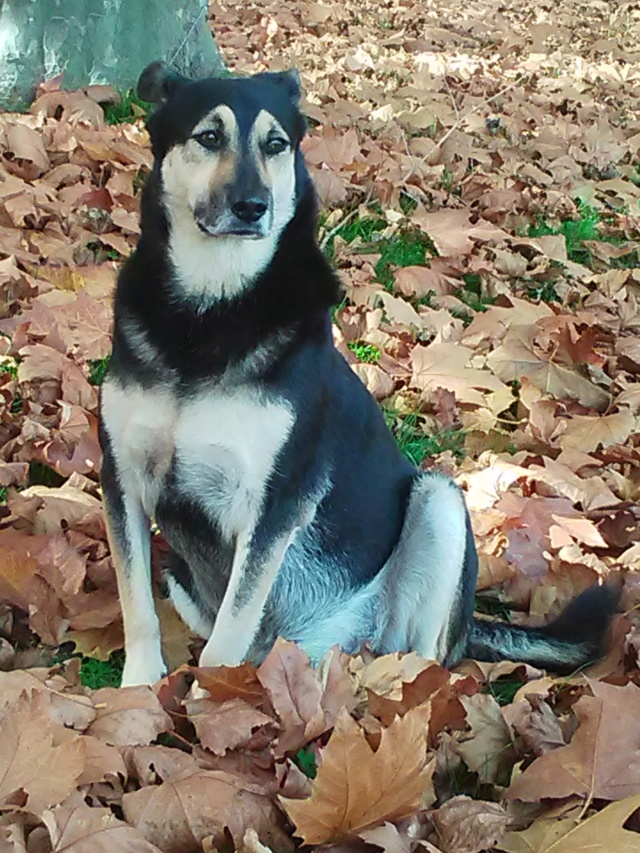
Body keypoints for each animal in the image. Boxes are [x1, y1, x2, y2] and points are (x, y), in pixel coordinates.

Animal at [97, 60, 616, 684]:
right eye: (209, 136)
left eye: (276, 144)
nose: (253, 206)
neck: (212, 308)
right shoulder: (123, 479)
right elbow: (137, 606)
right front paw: (139, 689)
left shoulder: (273, 505)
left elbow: (228, 638)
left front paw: (211, 696)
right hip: (182, 573)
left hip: (439, 504)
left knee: (425, 656)